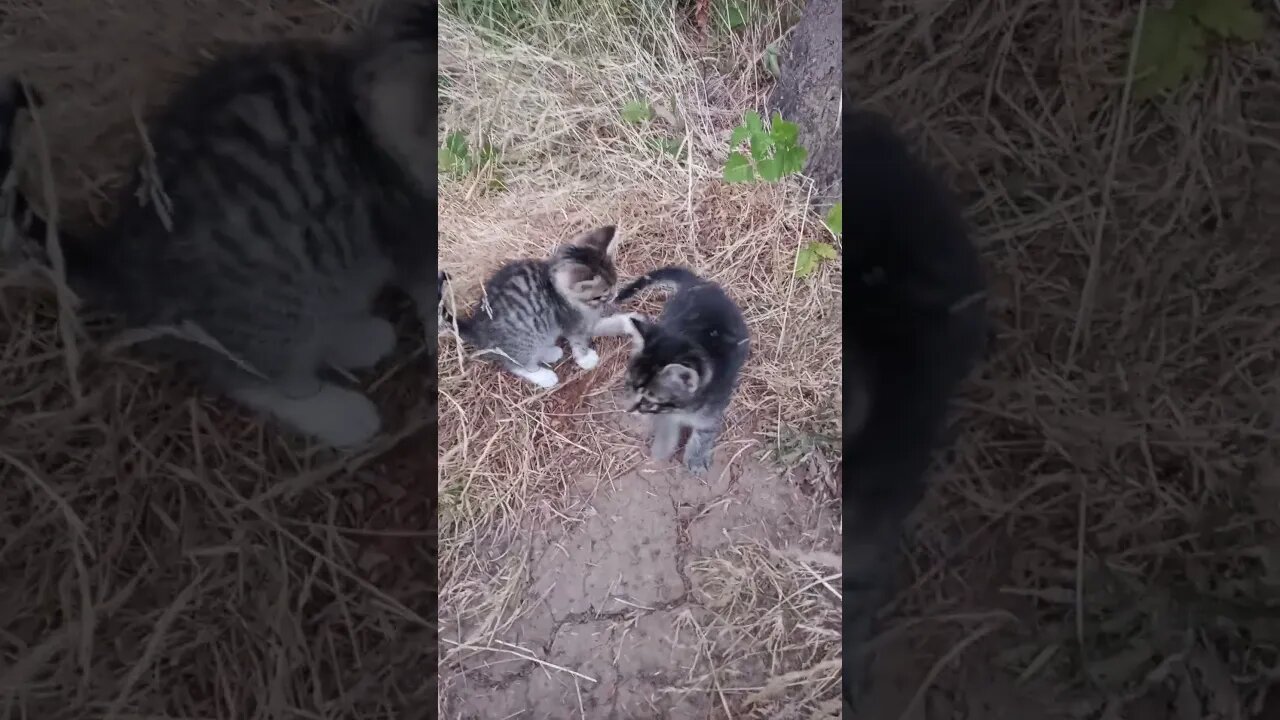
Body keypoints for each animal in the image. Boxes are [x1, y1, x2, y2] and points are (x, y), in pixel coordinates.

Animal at [0, 0, 435, 445]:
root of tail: (122, 262)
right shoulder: (410, 232)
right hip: (272, 296)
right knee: (252, 378)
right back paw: (340, 412)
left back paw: (355, 336)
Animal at [437, 226, 622, 389]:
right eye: (602, 294)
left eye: (615, 283)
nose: (614, 295)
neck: (555, 288)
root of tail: (477, 328)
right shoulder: (570, 322)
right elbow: (578, 341)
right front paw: (585, 359)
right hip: (524, 339)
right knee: (517, 364)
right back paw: (544, 375)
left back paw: (550, 352)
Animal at [609, 266, 747, 474]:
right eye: (629, 385)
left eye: (648, 401)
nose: (630, 410)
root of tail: (697, 283)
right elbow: (666, 423)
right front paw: (662, 447)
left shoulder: (713, 408)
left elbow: (704, 432)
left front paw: (696, 458)